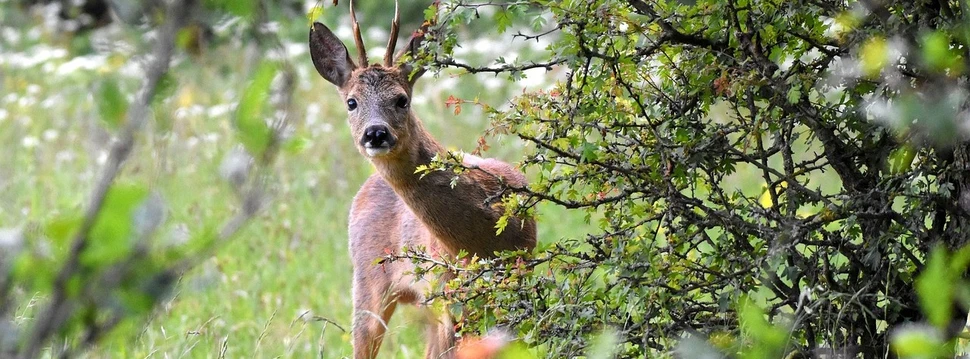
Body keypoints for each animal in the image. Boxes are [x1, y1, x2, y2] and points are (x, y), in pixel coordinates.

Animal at [310, 2, 536, 359]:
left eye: (402, 99)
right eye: (351, 102)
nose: (376, 133)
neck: (484, 238)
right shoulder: (448, 293)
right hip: (368, 281)